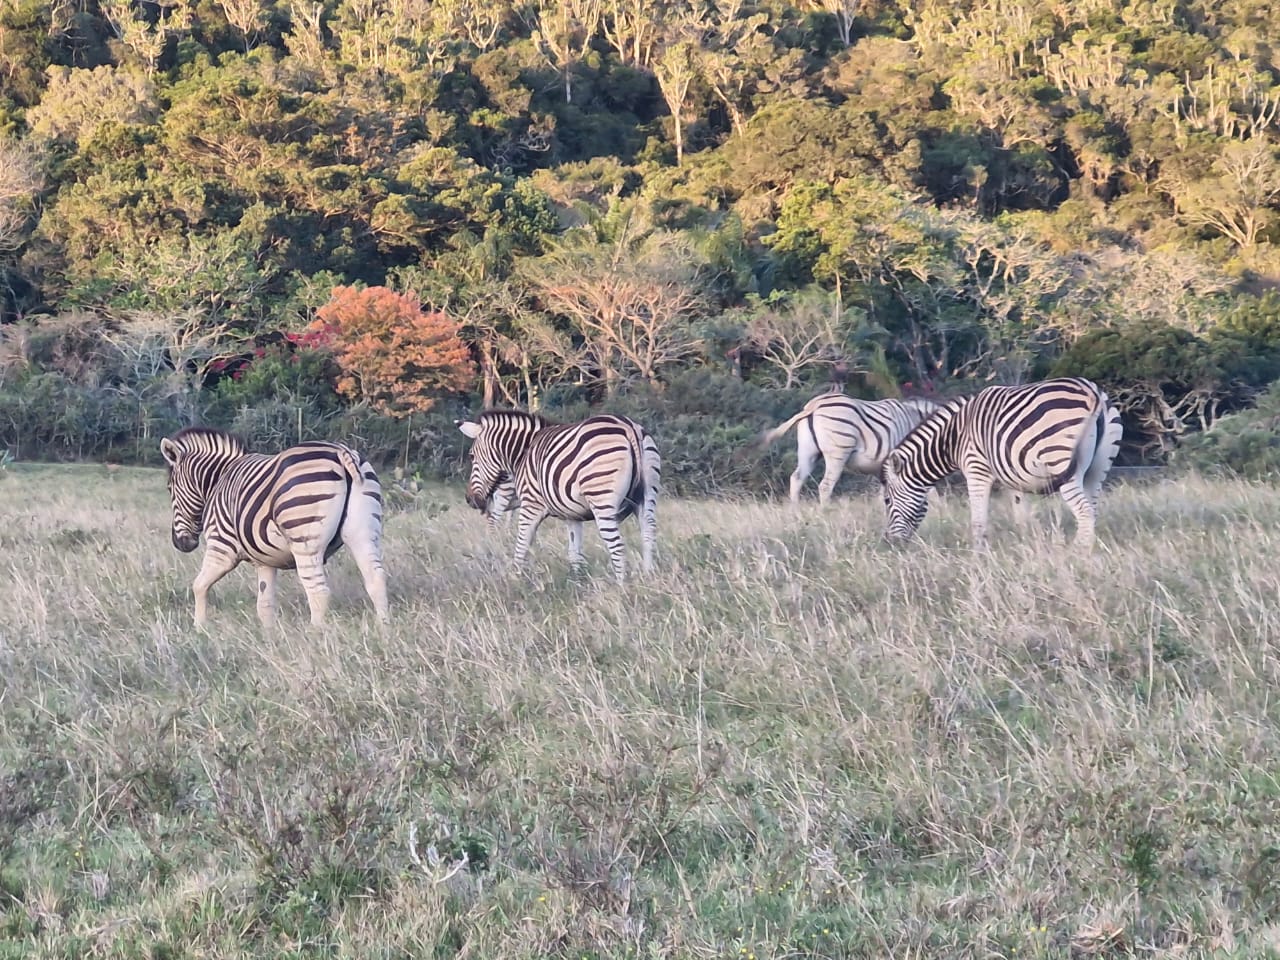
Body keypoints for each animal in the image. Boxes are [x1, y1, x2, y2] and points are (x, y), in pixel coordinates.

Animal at [159, 427, 390, 628]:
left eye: (169, 489)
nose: (180, 544)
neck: (218, 481)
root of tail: (340, 451)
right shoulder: (265, 560)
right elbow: (265, 603)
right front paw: (269, 636)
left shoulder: (221, 548)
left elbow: (199, 586)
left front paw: (199, 628)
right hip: (363, 533)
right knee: (376, 579)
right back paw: (383, 629)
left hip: (304, 540)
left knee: (318, 591)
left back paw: (315, 634)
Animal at [455, 410, 661, 581]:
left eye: (471, 456)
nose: (469, 500)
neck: (523, 452)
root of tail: (628, 426)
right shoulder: (573, 515)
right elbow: (574, 551)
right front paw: (578, 582)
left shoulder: (530, 504)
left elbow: (521, 543)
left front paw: (515, 579)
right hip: (648, 495)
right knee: (648, 534)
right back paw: (648, 577)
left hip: (601, 499)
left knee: (617, 546)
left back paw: (621, 587)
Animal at [754, 392, 943, 505]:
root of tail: (813, 405)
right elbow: (929, 491)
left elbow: (884, 493)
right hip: (838, 453)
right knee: (825, 486)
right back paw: (824, 514)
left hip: (809, 452)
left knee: (796, 478)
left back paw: (795, 511)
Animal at [879, 377, 1124, 548]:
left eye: (887, 501)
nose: (890, 543)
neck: (953, 436)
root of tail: (1092, 391)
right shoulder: (1013, 478)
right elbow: (1021, 517)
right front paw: (1027, 547)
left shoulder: (976, 470)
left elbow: (978, 520)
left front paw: (978, 555)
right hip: (1099, 467)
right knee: (1092, 508)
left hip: (1061, 462)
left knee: (1084, 511)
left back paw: (1079, 551)